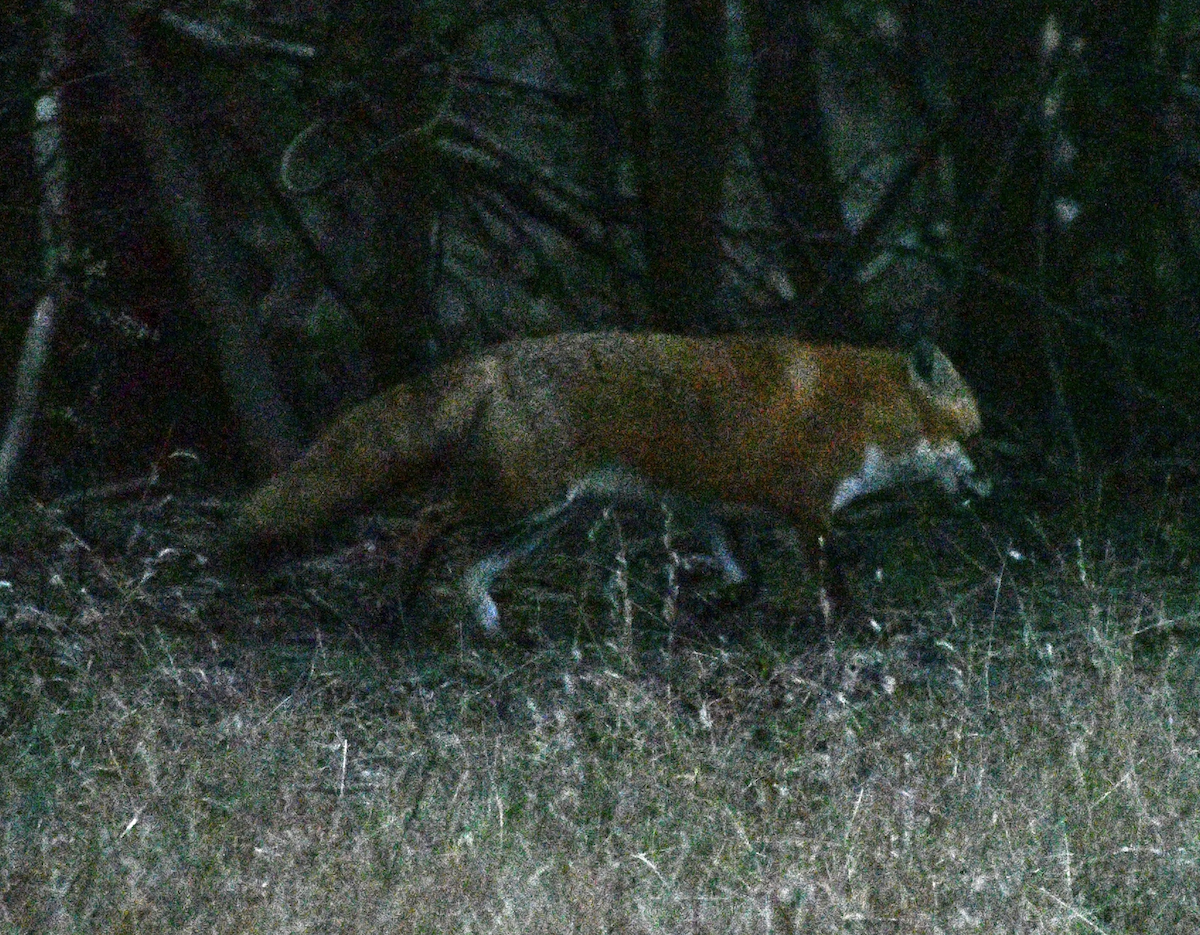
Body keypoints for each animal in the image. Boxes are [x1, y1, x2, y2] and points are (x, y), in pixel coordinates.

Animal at [228, 331, 984, 630]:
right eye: (975, 438)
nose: (988, 492)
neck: (867, 411)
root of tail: (497, 358)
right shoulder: (808, 510)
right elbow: (832, 587)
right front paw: (855, 631)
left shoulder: (714, 508)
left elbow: (748, 581)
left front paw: (704, 612)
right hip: (520, 501)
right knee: (429, 523)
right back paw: (402, 608)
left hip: (540, 521)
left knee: (469, 571)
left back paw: (492, 628)